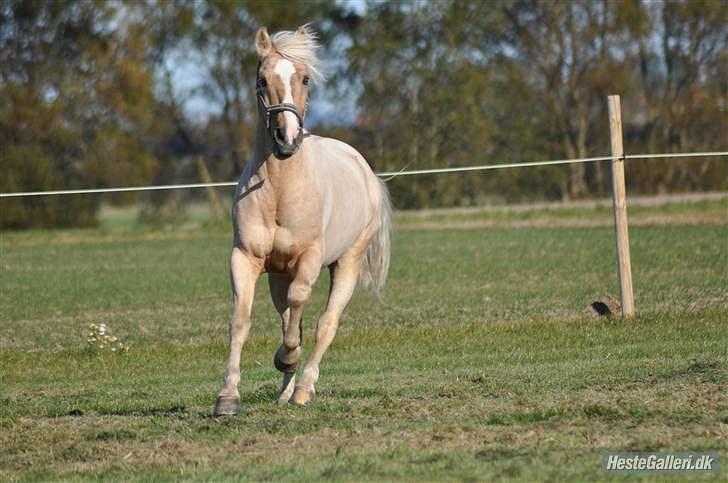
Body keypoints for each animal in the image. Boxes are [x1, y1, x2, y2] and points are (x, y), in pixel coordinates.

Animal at [213, 24, 390, 416]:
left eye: (306, 78)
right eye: (261, 80)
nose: (286, 139)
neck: (280, 190)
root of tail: (366, 171)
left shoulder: (308, 260)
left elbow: (299, 310)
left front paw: (287, 358)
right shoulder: (244, 258)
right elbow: (241, 321)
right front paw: (228, 397)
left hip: (347, 263)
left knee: (325, 324)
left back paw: (303, 388)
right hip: (278, 274)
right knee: (291, 319)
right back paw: (285, 392)